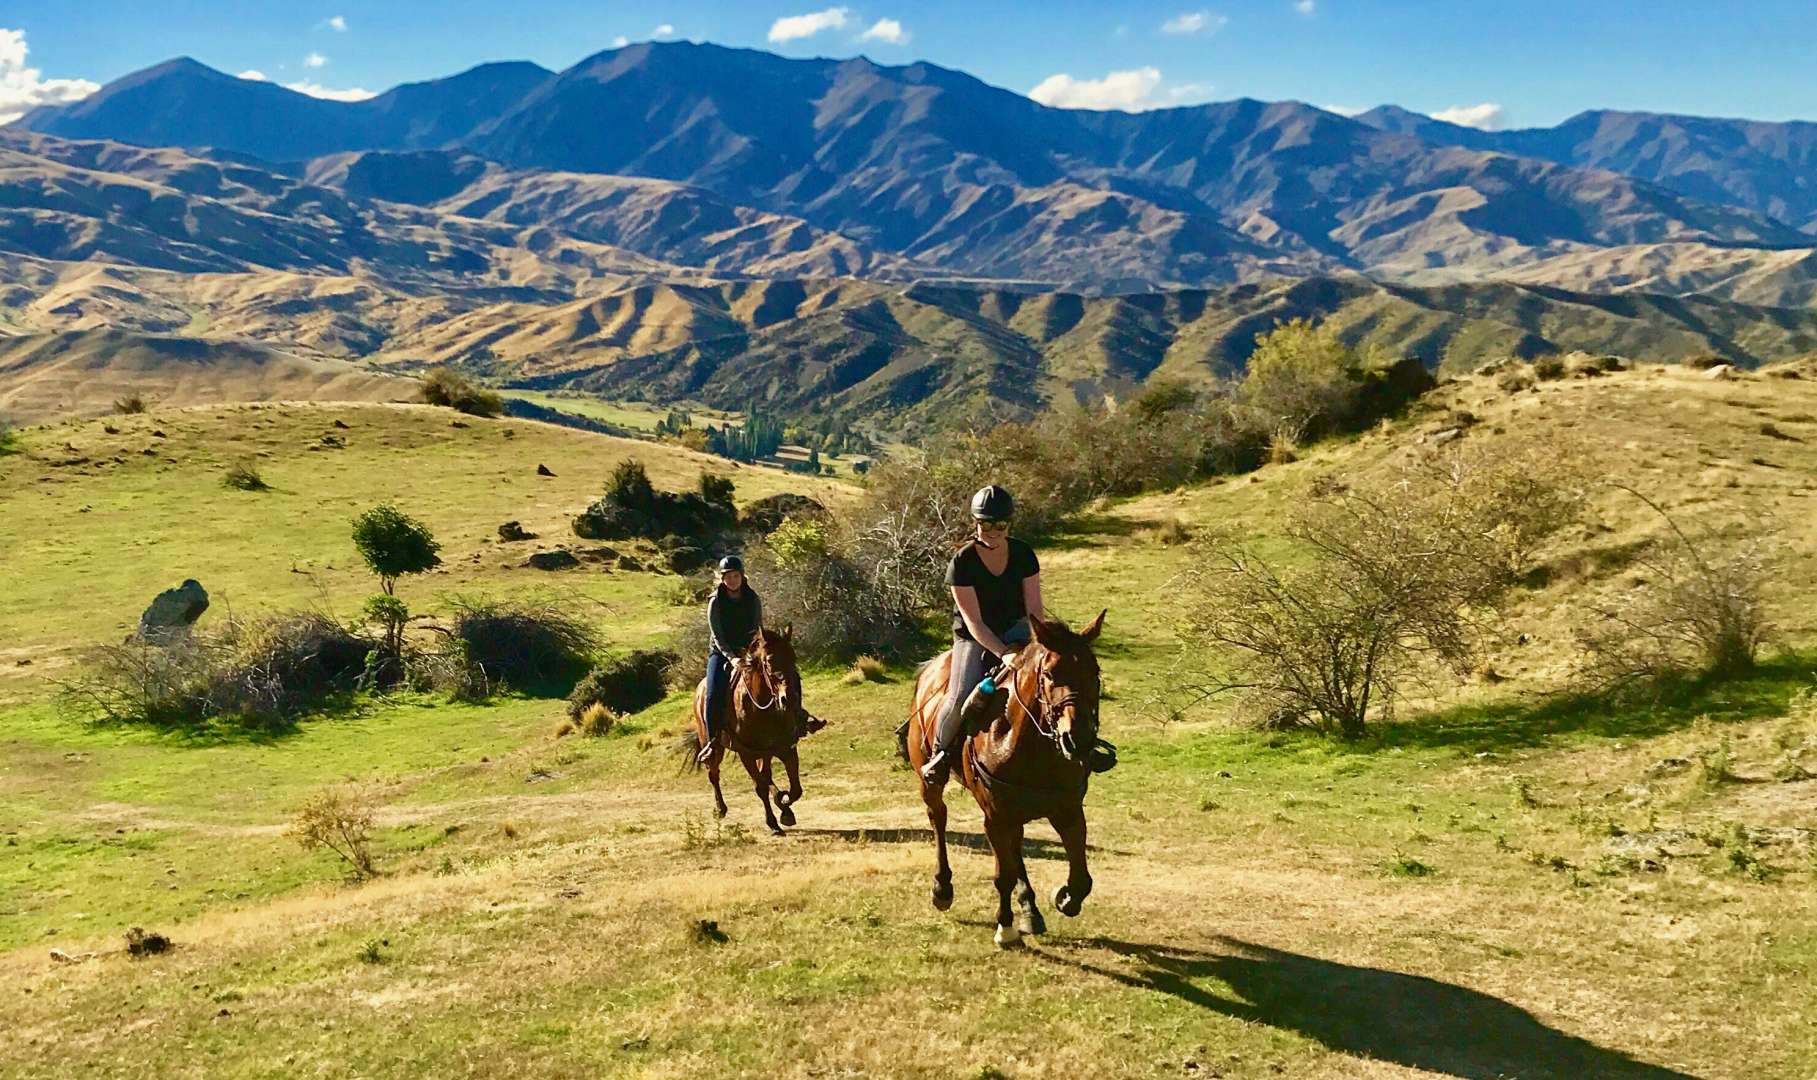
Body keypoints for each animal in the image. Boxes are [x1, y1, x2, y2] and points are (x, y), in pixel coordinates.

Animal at [683, 621, 806, 832]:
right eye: (769, 661)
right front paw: (773, 823)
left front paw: (785, 808)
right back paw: (721, 809)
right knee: (713, 774)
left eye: (793, 657)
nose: (788, 699)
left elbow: (795, 789)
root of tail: (699, 689)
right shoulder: (746, 754)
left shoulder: (785, 748)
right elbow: (761, 787)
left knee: (766, 776)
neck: (762, 708)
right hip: (714, 747)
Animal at [908, 610, 1104, 945]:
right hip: (931, 783)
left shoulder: (1068, 811)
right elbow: (1003, 876)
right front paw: (1005, 927)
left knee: (1016, 847)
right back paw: (942, 888)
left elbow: (1082, 879)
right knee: (939, 818)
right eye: (1049, 674)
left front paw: (1063, 897)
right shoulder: (995, 818)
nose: (1077, 738)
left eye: (1095, 672)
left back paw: (1030, 909)